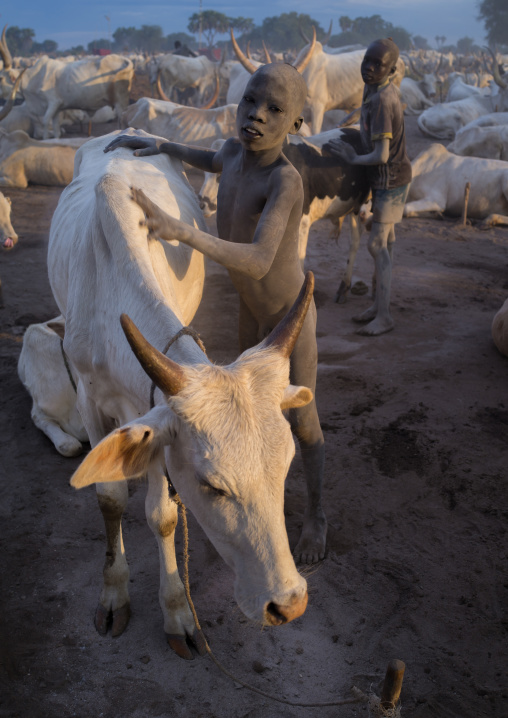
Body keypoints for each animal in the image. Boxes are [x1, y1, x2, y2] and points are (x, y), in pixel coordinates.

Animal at [198, 129, 370, 302]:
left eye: (220, 175)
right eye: (205, 174)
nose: (201, 204)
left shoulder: (302, 221)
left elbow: (299, 258)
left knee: (357, 242)